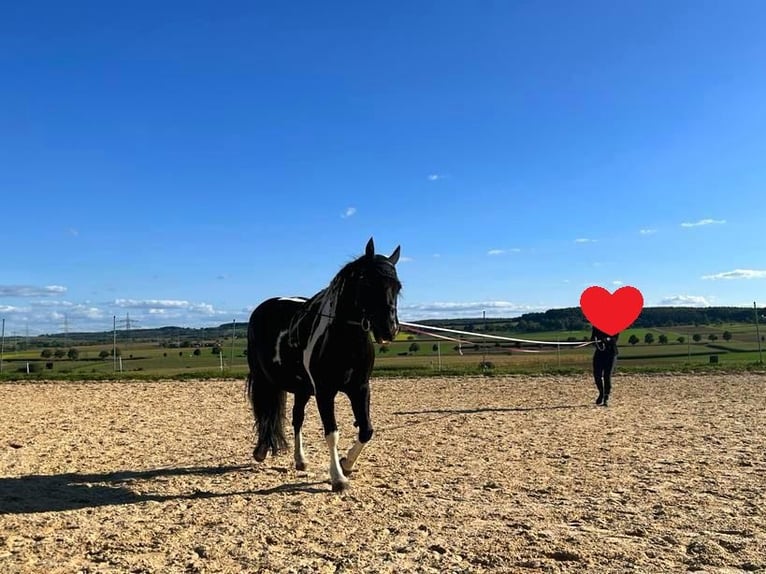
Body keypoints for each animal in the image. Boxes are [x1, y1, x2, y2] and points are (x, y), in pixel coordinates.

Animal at [248, 238, 404, 496]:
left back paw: (300, 460)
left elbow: (366, 430)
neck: (344, 338)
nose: (389, 329)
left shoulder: (360, 388)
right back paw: (261, 451)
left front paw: (346, 464)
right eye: (367, 282)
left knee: (297, 418)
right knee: (265, 413)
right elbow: (332, 433)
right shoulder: (324, 391)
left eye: (397, 286)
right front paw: (338, 478)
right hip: (264, 380)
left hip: (301, 389)